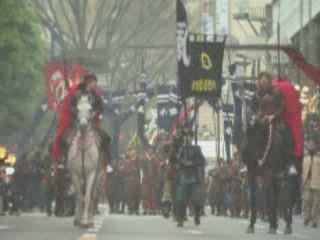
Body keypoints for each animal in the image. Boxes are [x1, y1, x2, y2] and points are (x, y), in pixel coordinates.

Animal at [67, 92, 104, 229]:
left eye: (90, 109)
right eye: (77, 109)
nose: (83, 125)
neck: (83, 148)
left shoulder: (91, 173)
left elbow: (88, 197)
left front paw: (86, 222)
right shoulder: (75, 173)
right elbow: (79, 197)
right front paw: (80, 220)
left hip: (98, 174)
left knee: (93, 195)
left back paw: (90, 219)